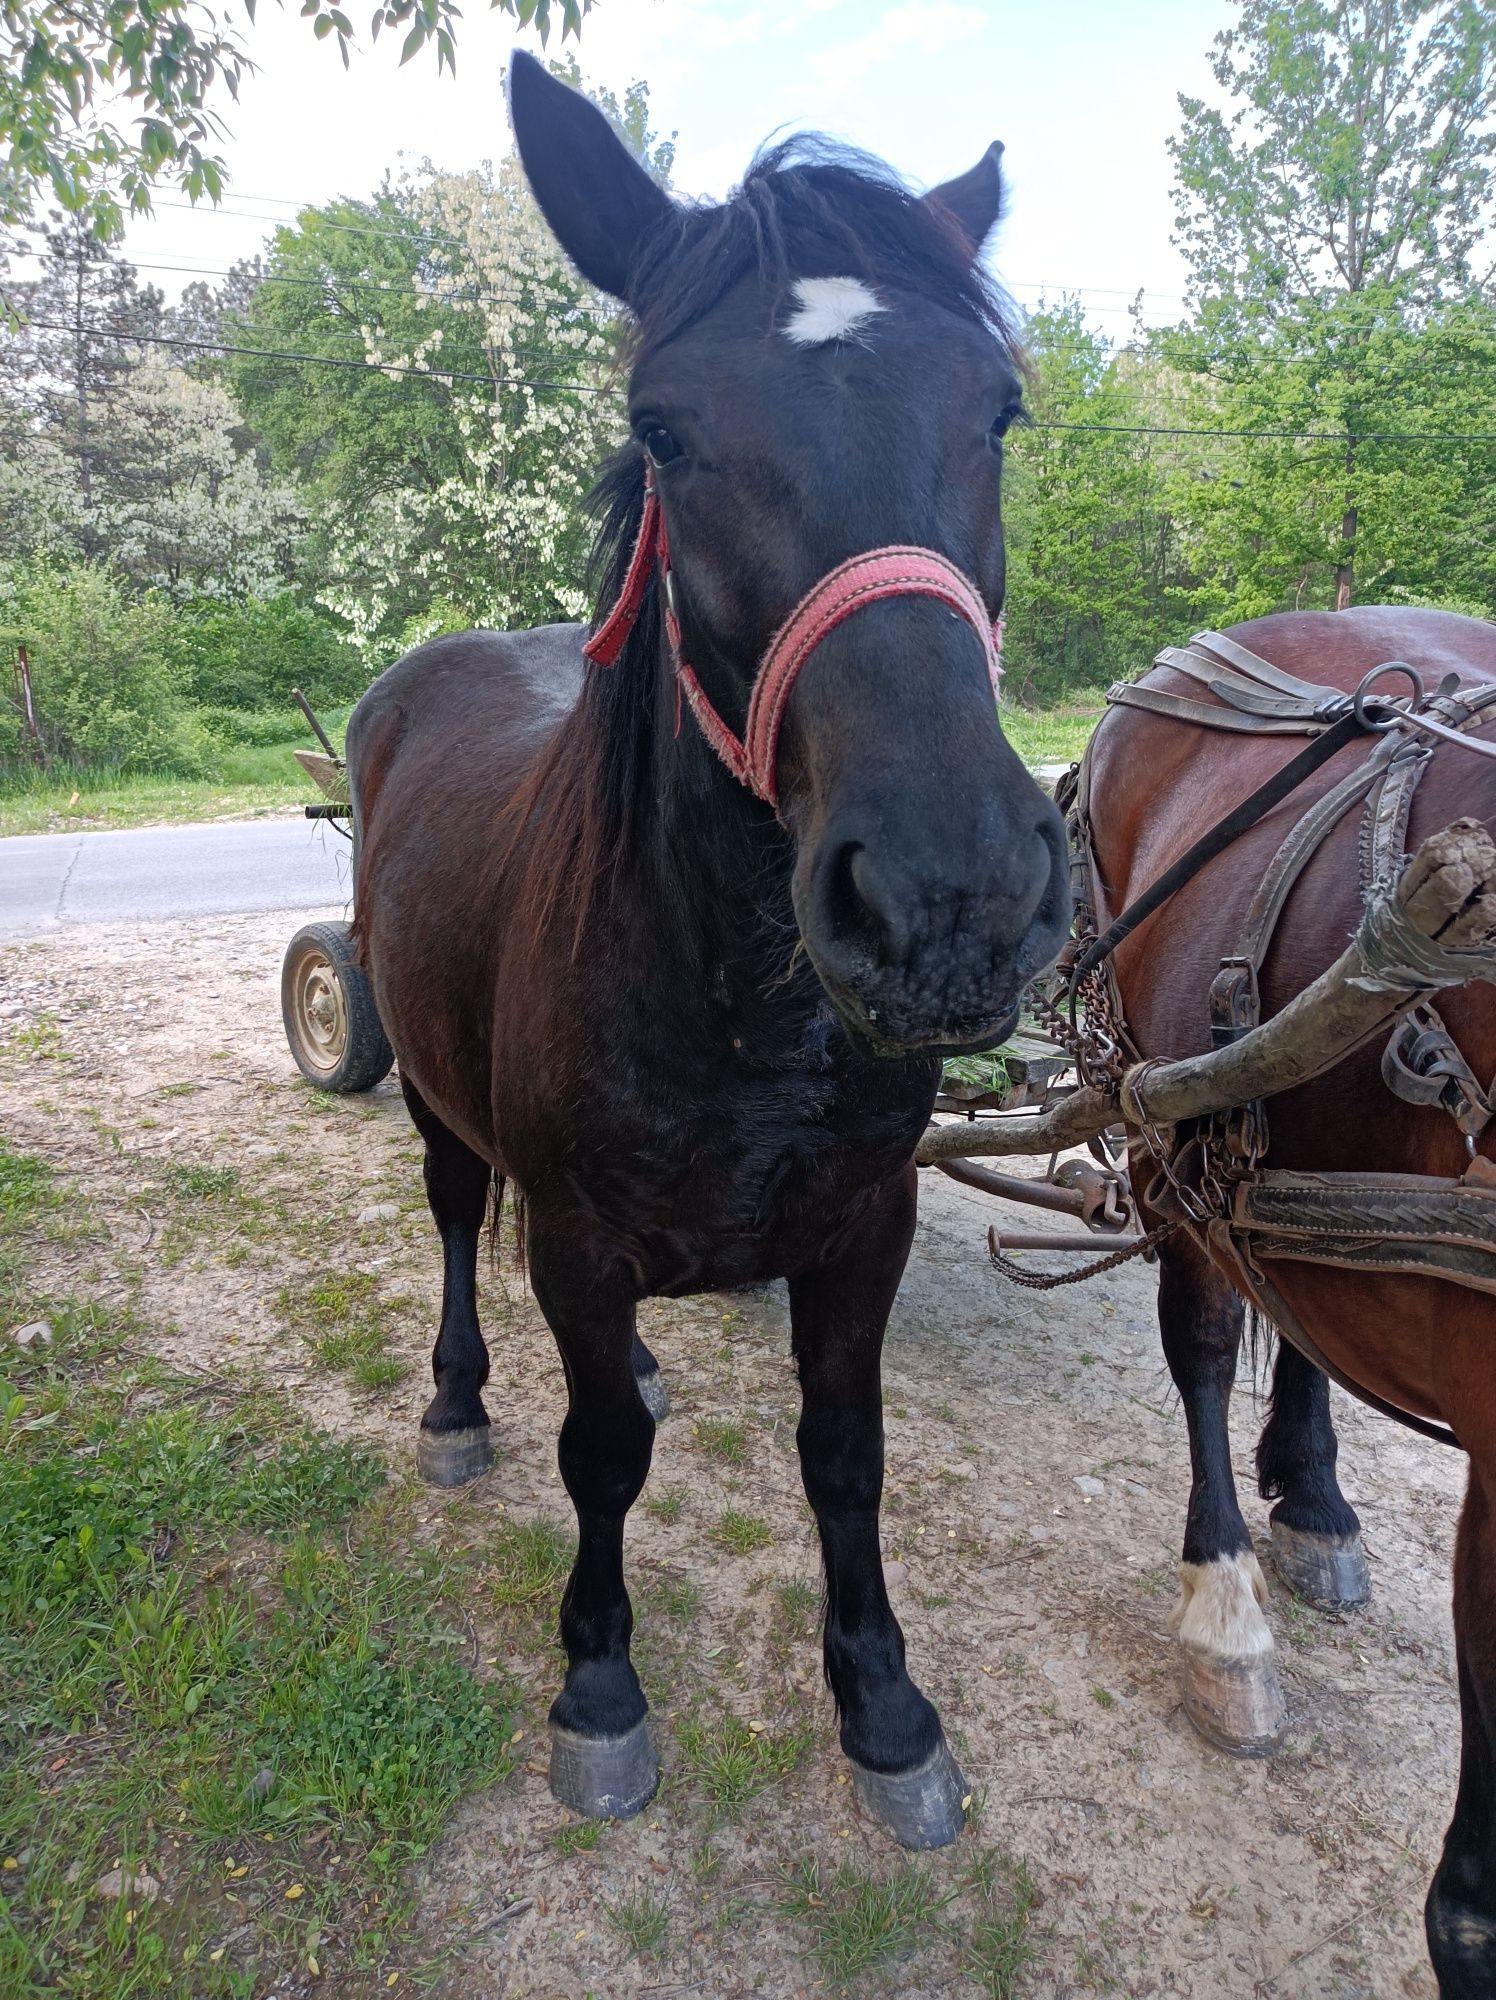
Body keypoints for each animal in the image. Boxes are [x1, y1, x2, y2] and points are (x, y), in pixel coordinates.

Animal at [344, 58, 1072, 1840]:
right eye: (664, 429)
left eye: (999, 412)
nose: (948, 892)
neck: (734, 1008)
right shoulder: (581, 1241)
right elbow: (599, 1456)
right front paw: (599, 1686)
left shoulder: (863, 1231)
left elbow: (845, 1455)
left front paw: (885, 1704)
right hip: (436, 1099)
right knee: (459, 1220)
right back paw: (457, 1401)